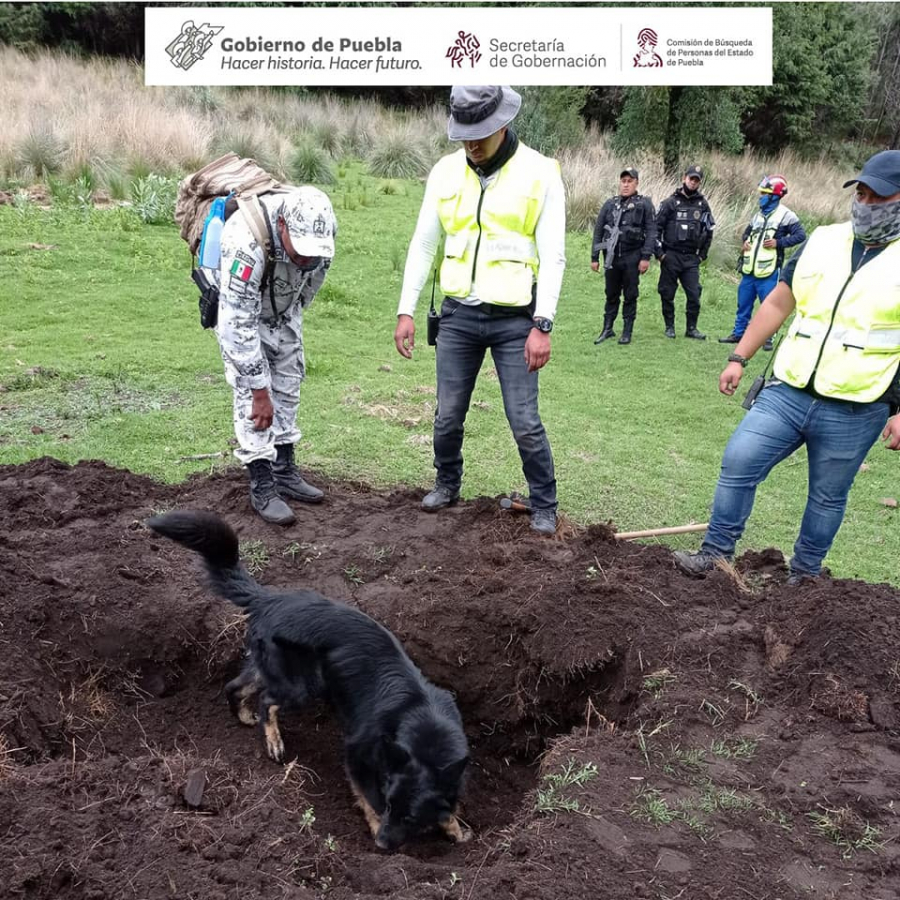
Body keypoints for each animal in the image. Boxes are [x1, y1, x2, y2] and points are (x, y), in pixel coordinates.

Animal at [146, 510, 472, 848]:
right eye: (391, 803)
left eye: (409, 817)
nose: (382, 845)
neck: (423, 723)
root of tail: (268, 599)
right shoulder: (356, 751)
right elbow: (367, 796)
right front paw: (375, 824)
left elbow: (448, 805)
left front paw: (455, 827)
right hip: (305, 684)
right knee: (267, 700)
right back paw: (274, 743)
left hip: (271, 667)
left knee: (235, 687)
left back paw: (245, 717)